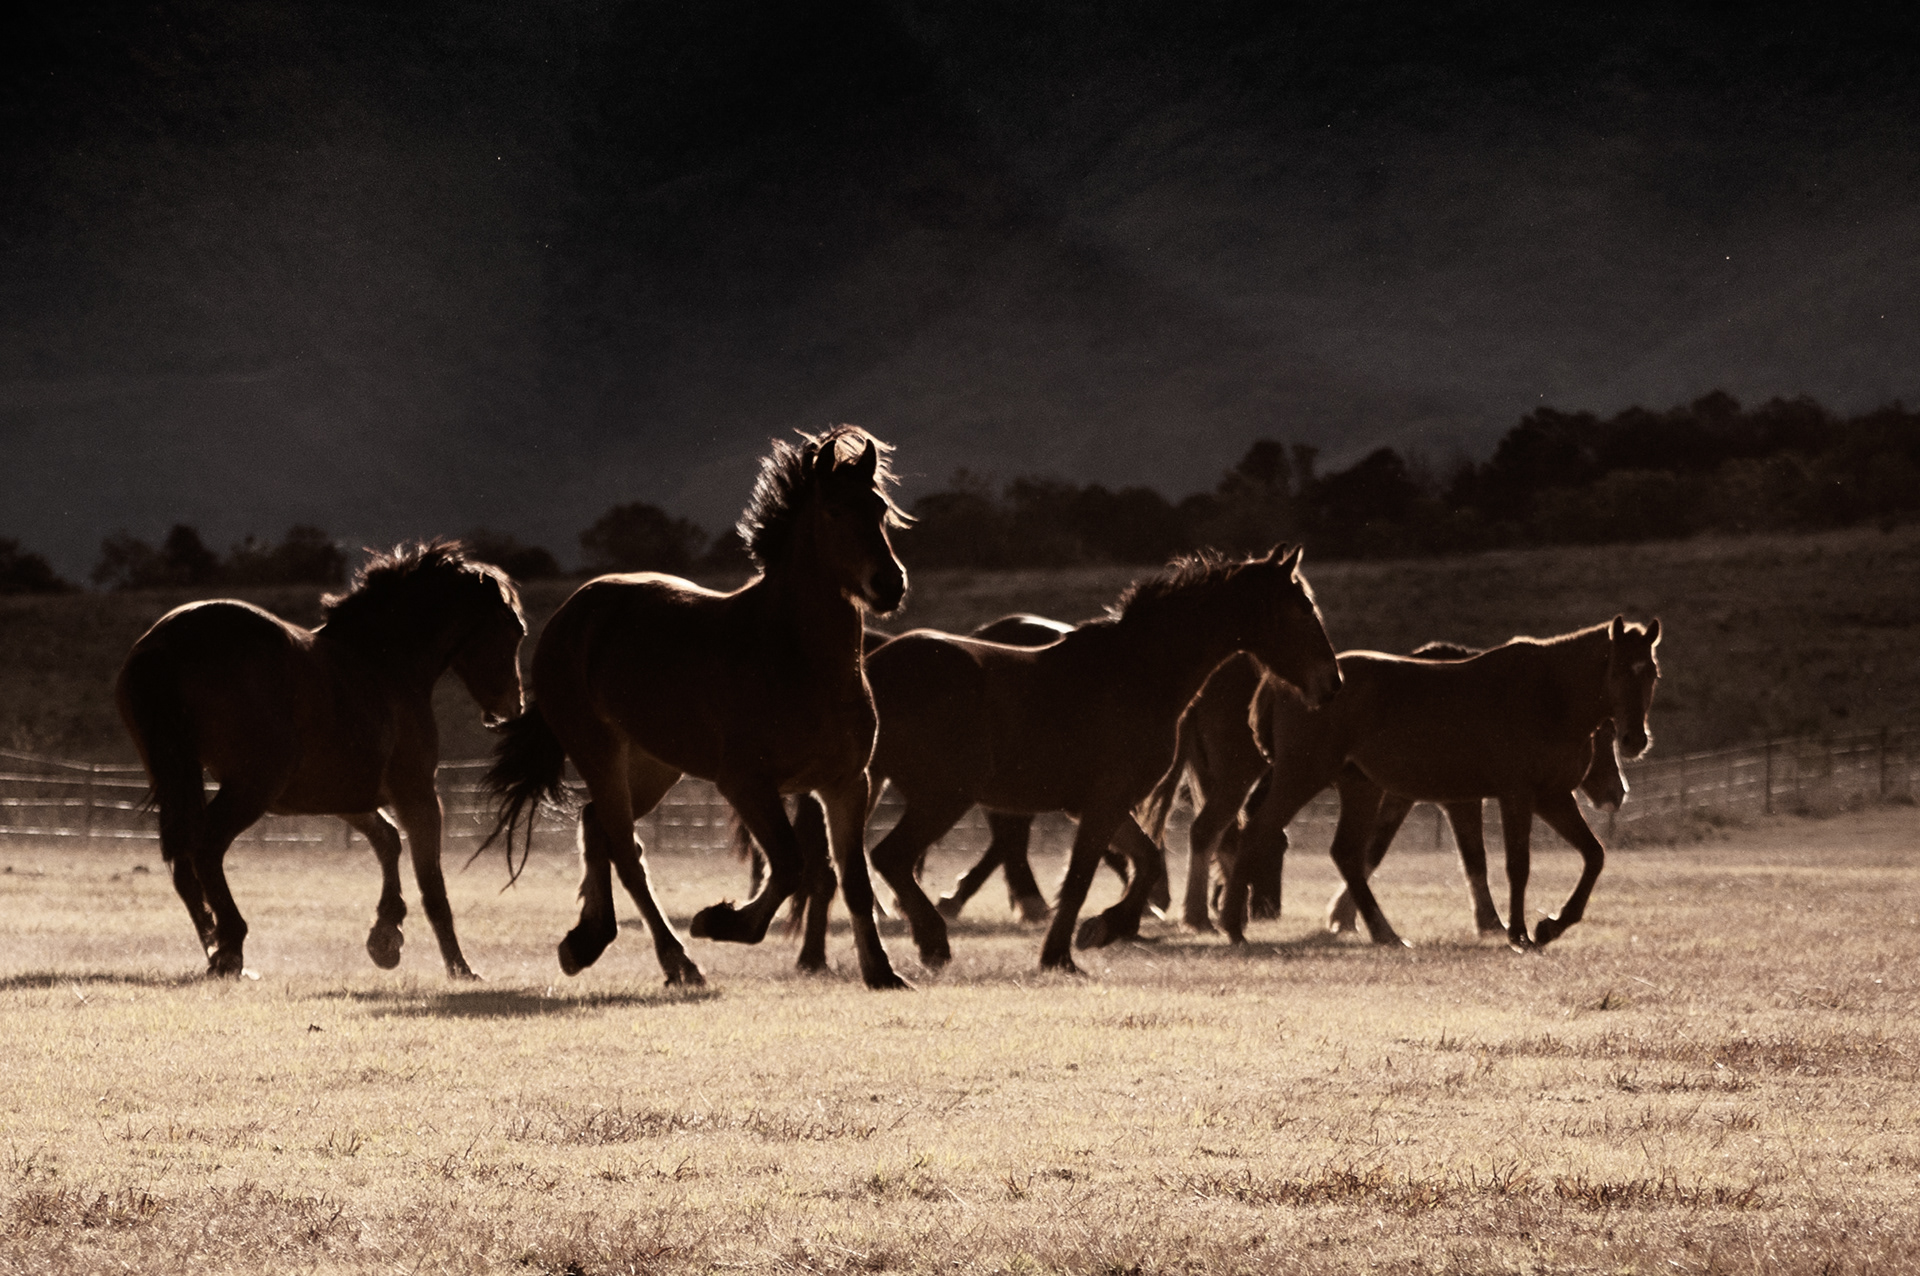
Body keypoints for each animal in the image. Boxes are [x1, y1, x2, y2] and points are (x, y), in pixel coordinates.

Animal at [115, 541, 527, 978]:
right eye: (515, 630)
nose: (512, 707)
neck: (383, 663)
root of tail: (166, 644)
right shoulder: (417, 795)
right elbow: (432, 885)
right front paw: (459, 968)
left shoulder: (345, 797)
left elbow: (388, 841)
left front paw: (386, 936)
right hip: (251, 786)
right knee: (205, 846)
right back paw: (230, 949)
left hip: (177, 778)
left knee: (183, 860)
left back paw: (214, 947)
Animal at [484, 426, 913, 989]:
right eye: (834, 510)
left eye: (879, 508)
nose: (890, 584)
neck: (795, 657)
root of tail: (572, 614)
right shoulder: (746, 783)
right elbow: (790, 865)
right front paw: (720, 922)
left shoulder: (846, 784)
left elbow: (853, 879)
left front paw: (882, 972)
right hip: (598, 752)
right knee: (625, 851)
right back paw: (677, 961)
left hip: (654, 765)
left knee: (597, 825)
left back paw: (587, 941)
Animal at [853, 548, 1341, 975]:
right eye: (1302, 609)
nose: (1332, 683)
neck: (1136, 674)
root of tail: (874, 666)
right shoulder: (1104, 805)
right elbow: (1082, 879)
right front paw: (1065, 951)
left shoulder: (1100, 806)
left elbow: (1145, 862)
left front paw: (1102, 929)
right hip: (943, 797)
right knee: (890, 856)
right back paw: (933, 939)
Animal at [1219, 617, 1661, 951]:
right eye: (1617, 669)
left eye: (1652, 673)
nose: (1634, 740)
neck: (1549, 694)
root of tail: (1287, 684)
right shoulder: (1516, 796)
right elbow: (1517, 864)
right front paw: (1519, 933)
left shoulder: (1552, 798)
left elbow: (1594, 855)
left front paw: (1551, 925)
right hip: (1301, 776)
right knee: (1257, 832)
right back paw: (1233, 926)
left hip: (1360, 787)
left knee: (1346, 854)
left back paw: (1385, 933)